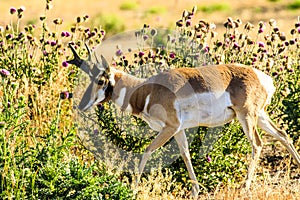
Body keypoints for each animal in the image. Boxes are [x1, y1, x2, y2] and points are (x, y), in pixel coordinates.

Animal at [67, 43, 300, 198]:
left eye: (100, 80)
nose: (81, 105)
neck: (147, 89)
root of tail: (261, 76)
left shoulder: (169, 128)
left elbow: (147, 151)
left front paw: (132, 189)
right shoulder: (178, 130)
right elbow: (186, 155)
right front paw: (195, 191)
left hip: (247, 116)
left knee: (257, 144)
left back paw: (245, 187)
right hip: (260, 117)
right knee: (283, 135)